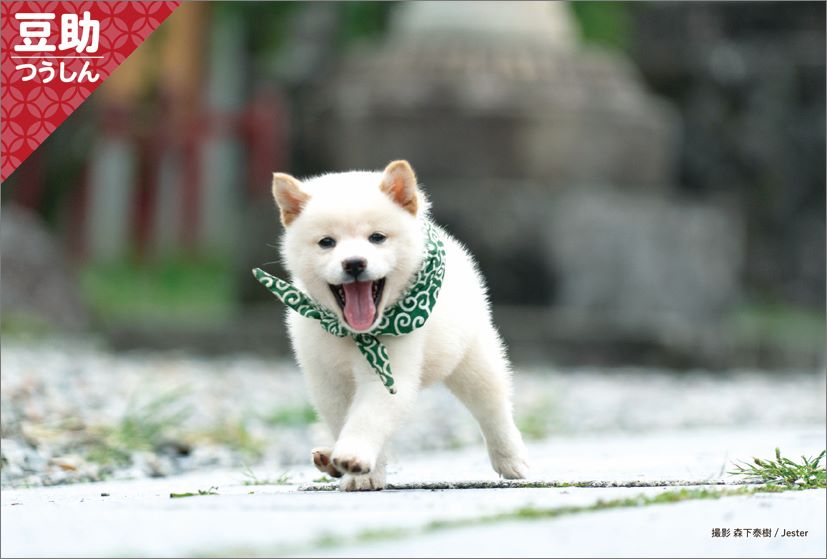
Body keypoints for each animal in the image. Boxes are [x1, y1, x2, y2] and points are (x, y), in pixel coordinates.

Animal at [262, 161, 528, 490]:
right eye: (326, 242)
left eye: (377, 237)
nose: (354, 263)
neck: (356, 335)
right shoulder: (326, 378)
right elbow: (343, 418)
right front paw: (361, 471)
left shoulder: (390, 370)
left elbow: (368, 416)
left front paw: (355, 459)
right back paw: (330, 458)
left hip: (473, 357)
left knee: (492, 405)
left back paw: (511, 458)